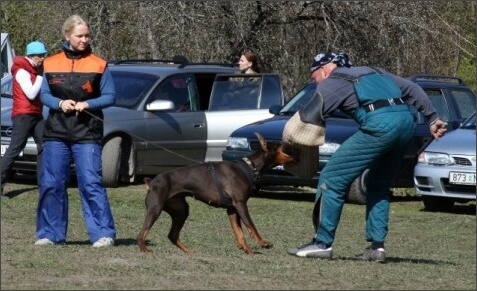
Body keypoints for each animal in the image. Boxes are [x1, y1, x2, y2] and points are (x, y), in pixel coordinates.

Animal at [136, 133, 292, 256]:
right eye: (280, 146)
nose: (288, 142)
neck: (249, 166)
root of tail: (151, 182)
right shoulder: (240, 204)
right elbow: (251, 226)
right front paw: (263, 243)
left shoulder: (232, 209)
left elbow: (239, 233)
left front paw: (247, 249)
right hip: (155, 208)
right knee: (141, 234)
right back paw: (144, 250)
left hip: (181, 210)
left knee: (172, 235)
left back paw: (188, 250)